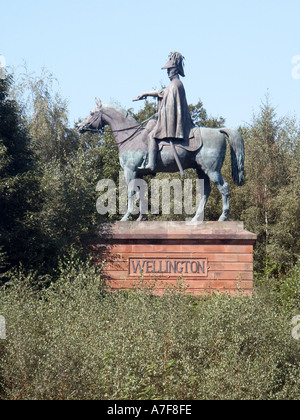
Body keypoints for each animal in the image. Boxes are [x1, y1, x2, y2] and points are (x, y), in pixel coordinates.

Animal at [77, 99, 244, 221]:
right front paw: (140, 218)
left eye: (92, 113)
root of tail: (218, 131)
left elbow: (131, 192)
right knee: (206, 191)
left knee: (224, 187)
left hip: (212, 170)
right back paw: (196, 219)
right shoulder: (138, 173)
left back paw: (222, 217)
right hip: (201, 170)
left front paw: (126, 217)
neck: (130, 138)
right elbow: (140, 194)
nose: (79, 126)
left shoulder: (130, 171)